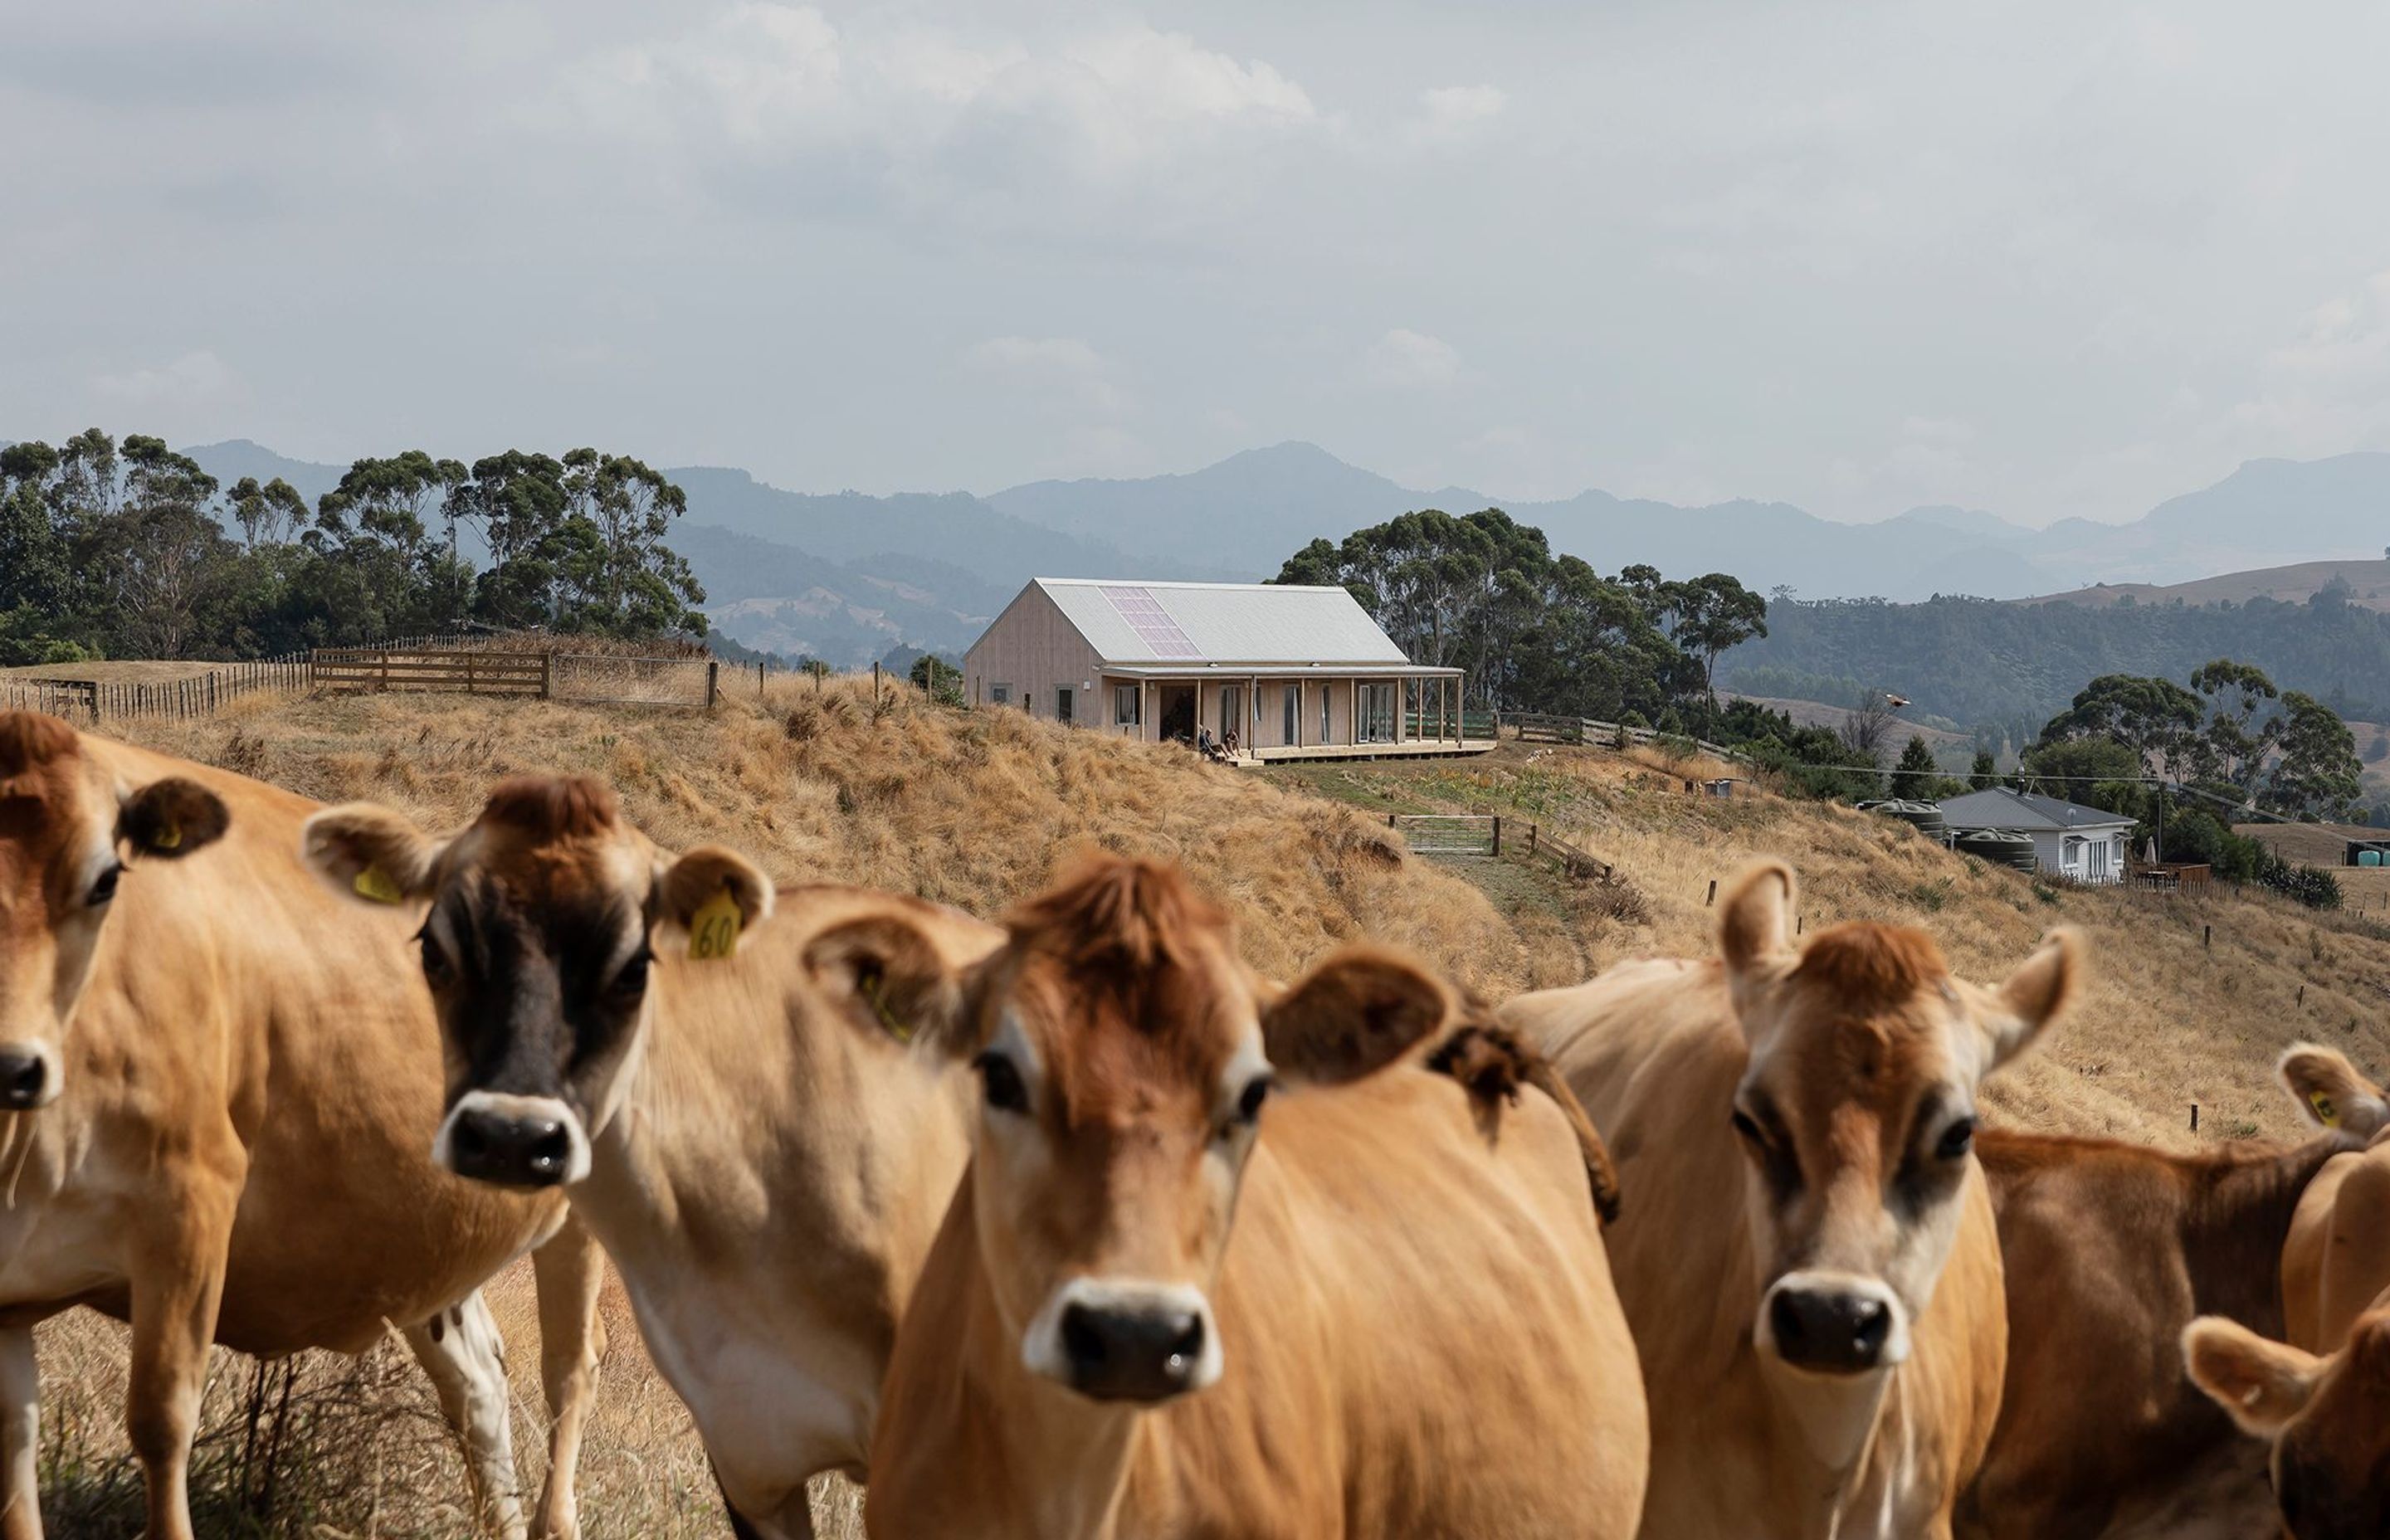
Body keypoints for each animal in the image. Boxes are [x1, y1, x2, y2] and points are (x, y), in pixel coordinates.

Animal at [0, 717, 602, 1540]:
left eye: (104, 881)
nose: (11, 1065)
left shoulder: (192, 1202)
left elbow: (162, 1421)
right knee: (479, 1381)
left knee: (569, 1371)